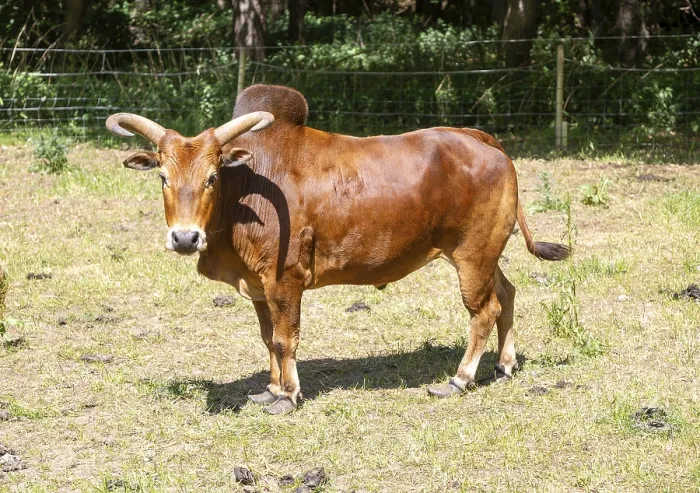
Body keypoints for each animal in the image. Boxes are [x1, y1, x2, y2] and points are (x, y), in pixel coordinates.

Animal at [106, 84, 569, 415]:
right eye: (162, 177)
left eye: (212, 177)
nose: (185, 238)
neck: (247, 185)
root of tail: (483, 140)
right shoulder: (258, 285)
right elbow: (268, 339)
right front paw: (270, 388)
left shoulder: (285, 280)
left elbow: (286, 339)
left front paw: (288, 395)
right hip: (487, 253)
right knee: (507, 294)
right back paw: (504, 365)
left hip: (473, 254)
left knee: (484, 311)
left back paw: (459, 378)